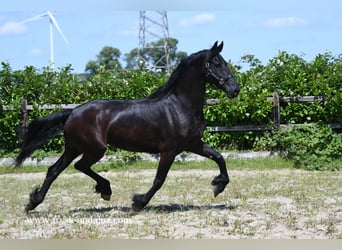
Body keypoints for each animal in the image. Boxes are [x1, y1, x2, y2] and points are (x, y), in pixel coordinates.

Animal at [16, 41, 240, 213]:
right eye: (216, 63)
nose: (235, 90)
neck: (179, 106)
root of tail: (72, 112)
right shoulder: (168, 151)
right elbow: (159, 180)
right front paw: (138, 203)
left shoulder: (193, 144)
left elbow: (219, 157)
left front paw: (218, 186)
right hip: (94, 149)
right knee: (79, 166)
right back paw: (104, 189)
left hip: (74, 147)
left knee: (55, 170)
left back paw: (33, 203)